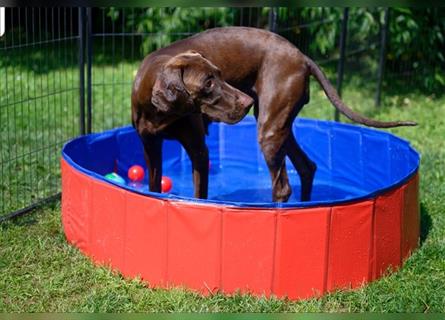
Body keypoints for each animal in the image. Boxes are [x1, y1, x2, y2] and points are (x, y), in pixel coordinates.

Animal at [130, 26, 414, 202]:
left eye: (220, 73)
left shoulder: (199, 151)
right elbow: (153, 186)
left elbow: (200, 195)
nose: (246, 102)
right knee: (306, 166)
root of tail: (302, 56)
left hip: (269, 129)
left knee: (282, 188)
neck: (159, 113)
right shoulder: (150, 148)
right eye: (208, 83)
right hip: (278, 127)